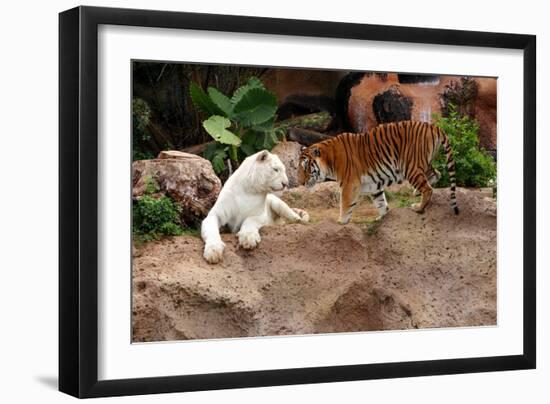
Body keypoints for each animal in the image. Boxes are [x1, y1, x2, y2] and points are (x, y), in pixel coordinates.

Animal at [300, 121, 460, 226]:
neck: (329, 160)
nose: (300, 182)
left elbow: (345, 204)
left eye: (306, 168)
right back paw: (416, 192)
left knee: (428, 188)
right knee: (436, 174)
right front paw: (382, 218)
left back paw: (418, 208)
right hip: (423, 163)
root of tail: (432, 126)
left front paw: (341, 221)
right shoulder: (373, 185)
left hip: (410, 166)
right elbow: (380, 202)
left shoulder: (349, 184)